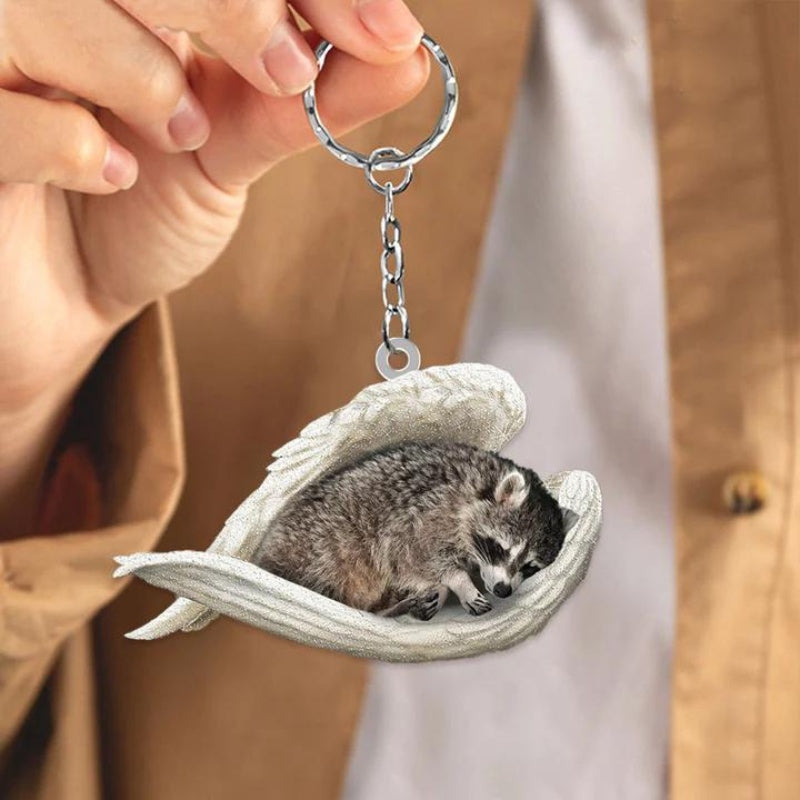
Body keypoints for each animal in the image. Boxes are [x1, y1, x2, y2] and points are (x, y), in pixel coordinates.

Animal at [253, 441, 577, 620]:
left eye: (530, 567)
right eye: (501, 548)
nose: (503, 590)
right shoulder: (425, 515)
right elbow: (414, 554)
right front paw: (460, 581)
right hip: (323, 545)